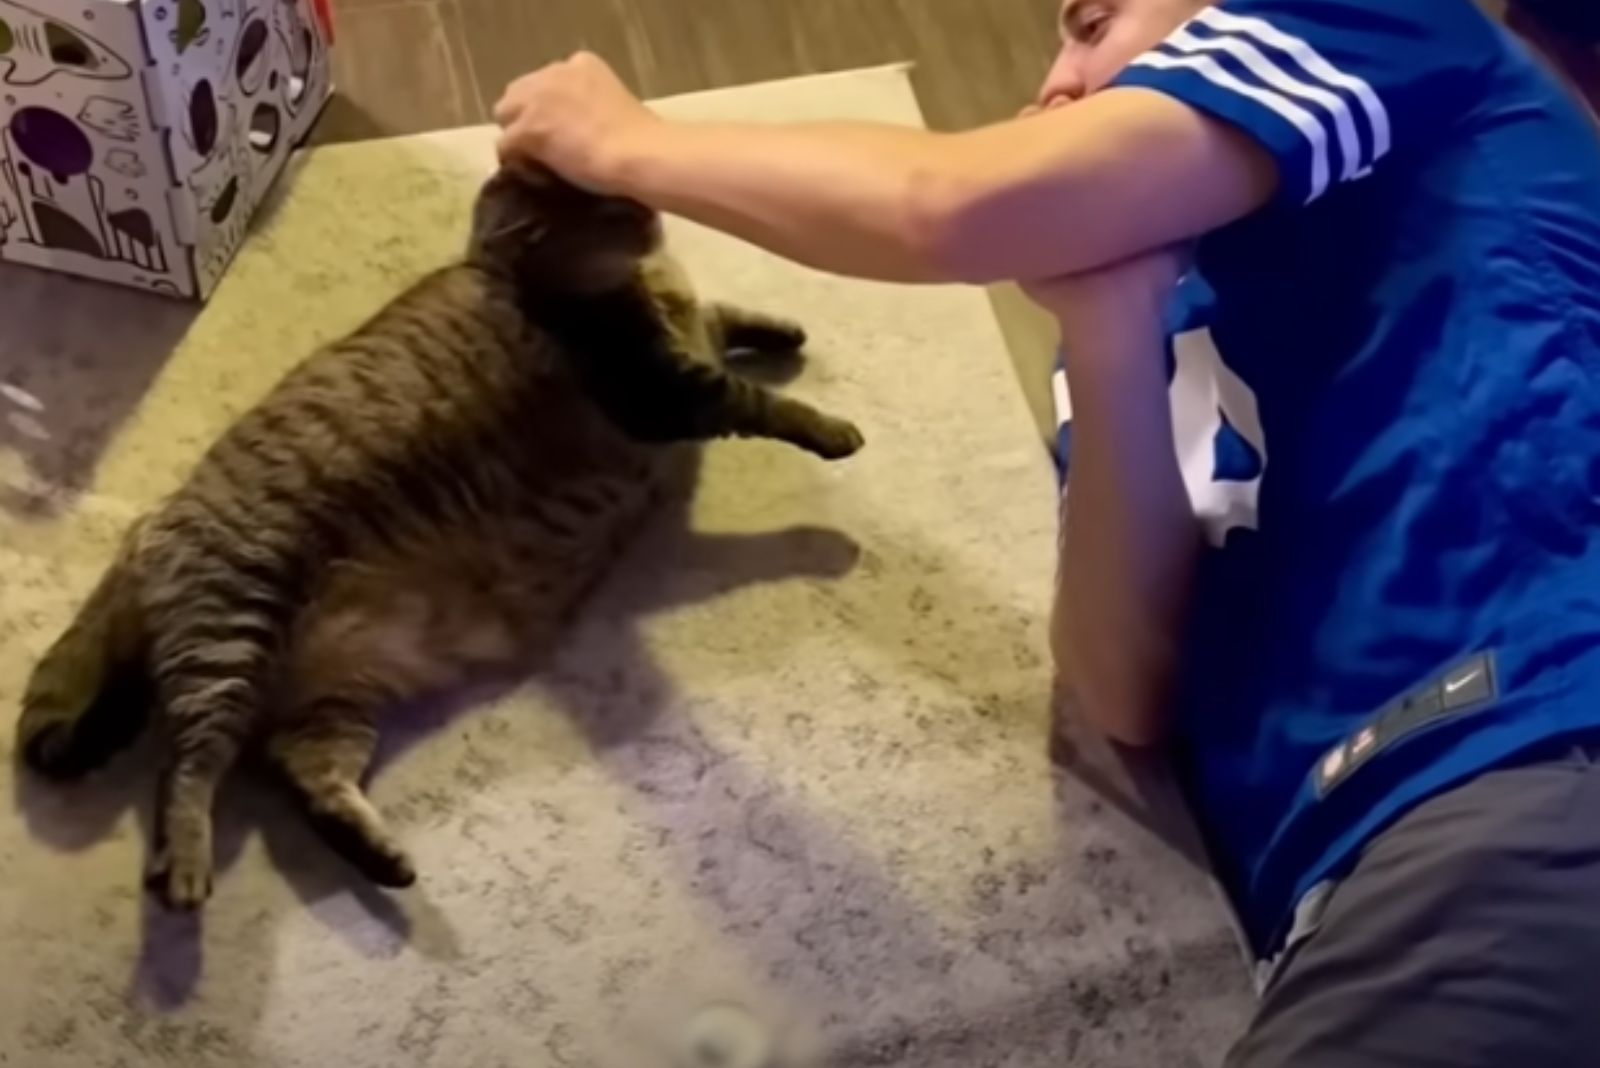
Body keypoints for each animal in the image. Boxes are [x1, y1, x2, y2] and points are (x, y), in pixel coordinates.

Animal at [12, 163, 864, 908]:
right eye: (602, 206)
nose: (643, 205)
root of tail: (152, 520)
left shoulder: (687, 340)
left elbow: (728, 318)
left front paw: (782, 330)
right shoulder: (658, 388)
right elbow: (761, 401)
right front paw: (831, 429)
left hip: (333, 697)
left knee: (301, 770)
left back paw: (381, 859)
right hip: (235, 628)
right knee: (188, 768)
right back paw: (187, 871)